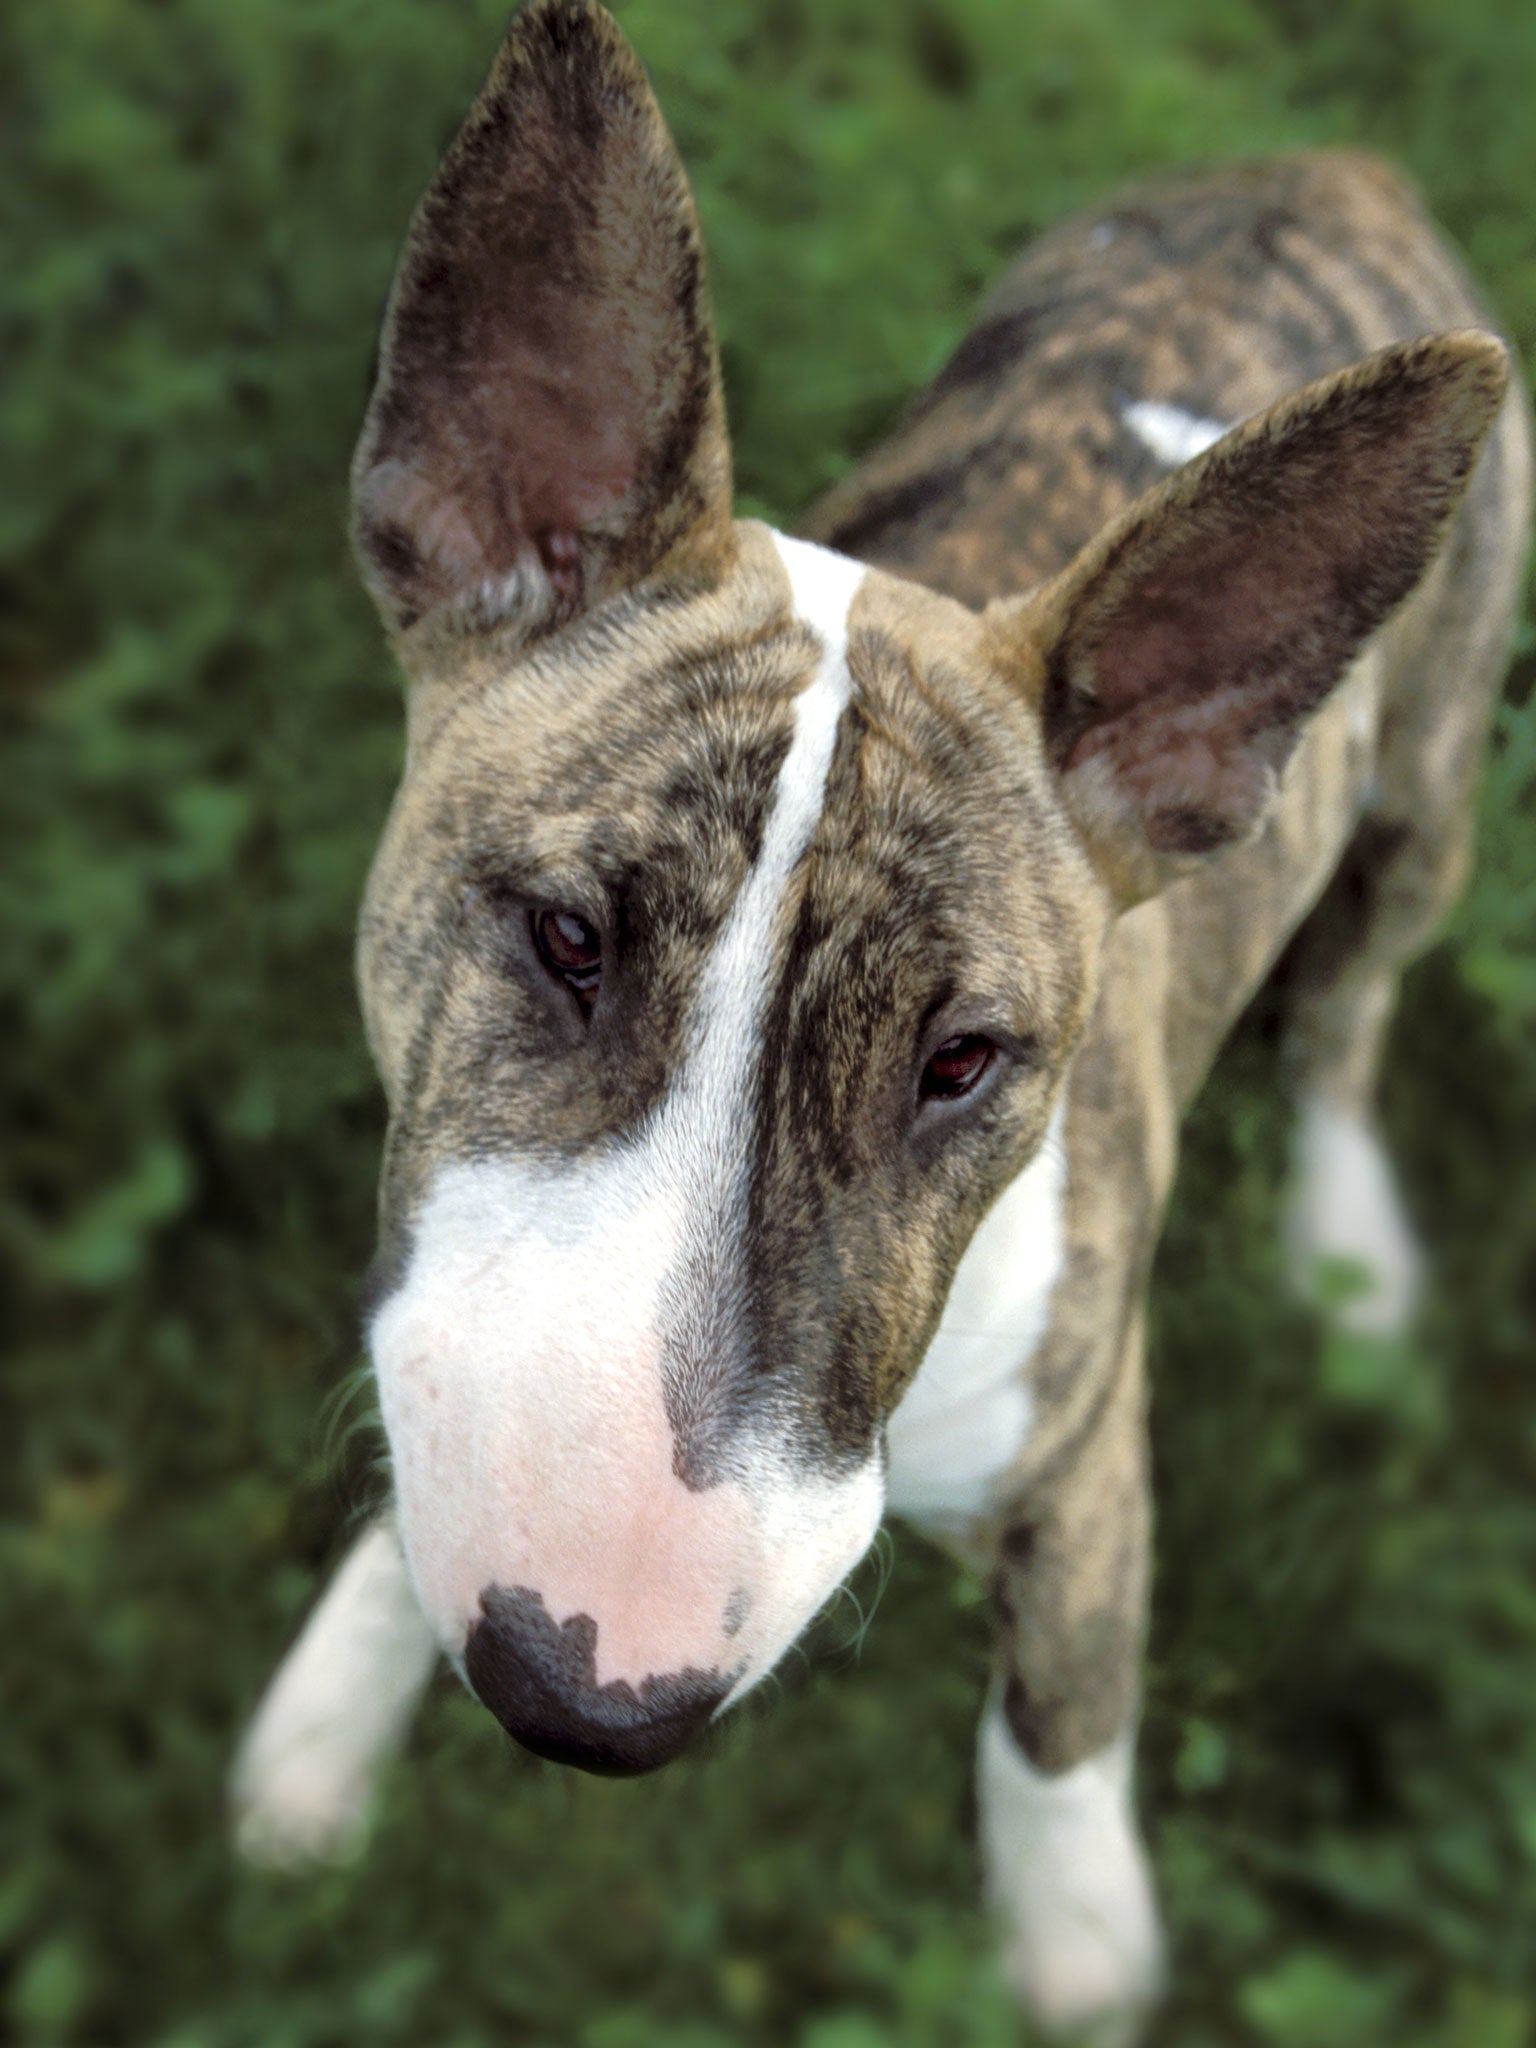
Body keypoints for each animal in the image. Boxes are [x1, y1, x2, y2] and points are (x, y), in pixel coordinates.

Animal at [231, 0, 1536, 2031]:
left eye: (962, 1063)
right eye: (565, 933)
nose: (584, 1695)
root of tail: (1341, 170)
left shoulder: (1087, 1439)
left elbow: (1066, 1695)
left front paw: (1079, 1936)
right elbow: (411, 1446)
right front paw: (322, 1727)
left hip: (1431, 778)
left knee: (1349, 1011)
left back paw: (1350, 1248)